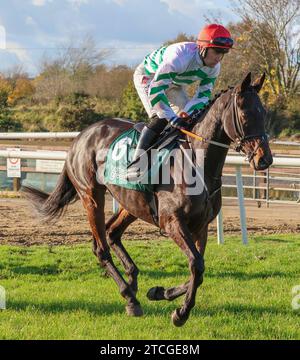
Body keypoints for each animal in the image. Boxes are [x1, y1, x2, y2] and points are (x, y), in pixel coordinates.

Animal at [22, 72, 274, 326]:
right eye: (245, 114)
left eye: (264, 113)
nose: (265, 159)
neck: (197, 162)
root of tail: (81, 136)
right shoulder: (172, 222)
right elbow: (196, 264)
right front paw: (181, 313)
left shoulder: (201, 225)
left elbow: (199, 269)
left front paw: (161, 292)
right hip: (91, 195)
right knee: (101, 248)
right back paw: (130, 298)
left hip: (131, 202)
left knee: (112, 232)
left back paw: (132, 283)